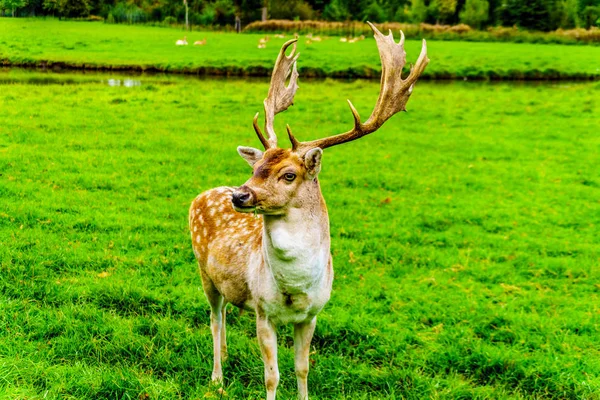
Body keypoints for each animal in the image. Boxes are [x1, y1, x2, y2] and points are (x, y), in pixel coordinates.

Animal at [190, 21, 428, 400]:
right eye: (257, 168)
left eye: (289, 174)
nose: (240, 196)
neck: (296, 287)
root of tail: (203, 194)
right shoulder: (263, 311)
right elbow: (271, 376)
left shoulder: (313, 313)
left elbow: (303, 368)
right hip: (203, 271)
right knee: (214, 318)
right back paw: (217, 378)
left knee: (224, 313)